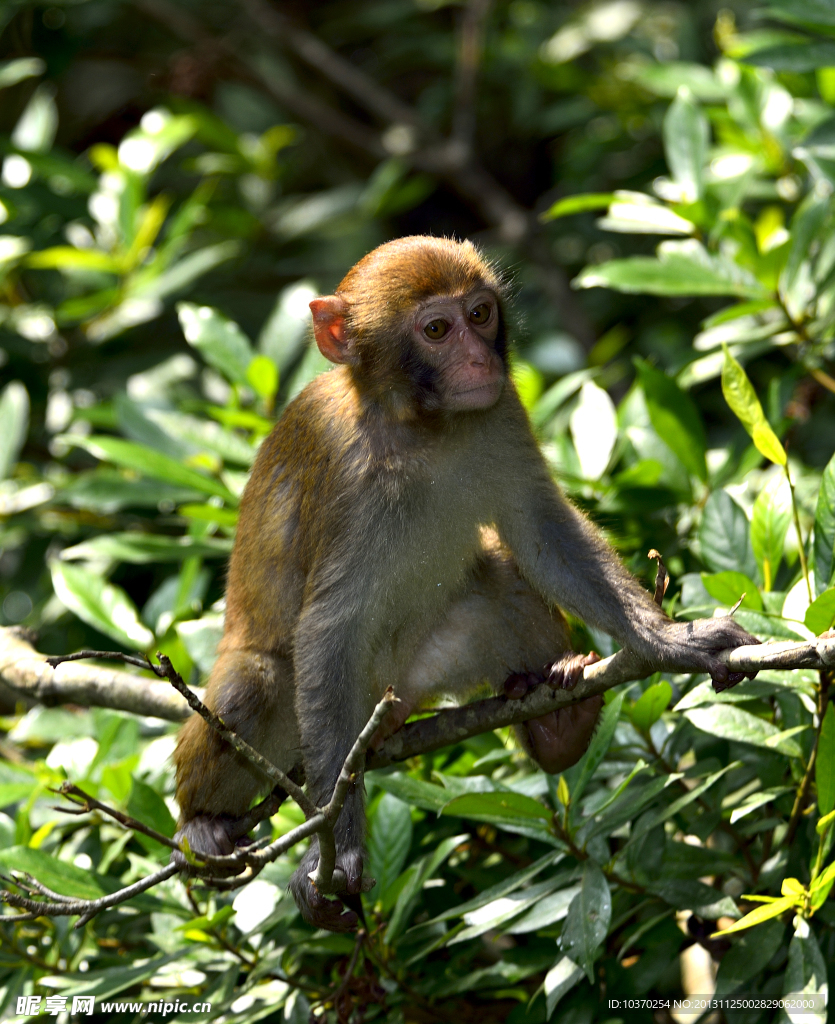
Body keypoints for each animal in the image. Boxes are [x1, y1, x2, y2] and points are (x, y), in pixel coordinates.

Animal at [173, 235, 762, 933]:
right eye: (436, 330)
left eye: (480, 315)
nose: (481, 358)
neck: (422, 428)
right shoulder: (348, 474)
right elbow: (328, 629)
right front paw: (338, 846)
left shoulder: (501, 411)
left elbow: (539, 530)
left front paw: (672, 641)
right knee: (252, 685)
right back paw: (202, 823)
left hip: (419, 674)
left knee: (501, 578)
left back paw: (556, 723)